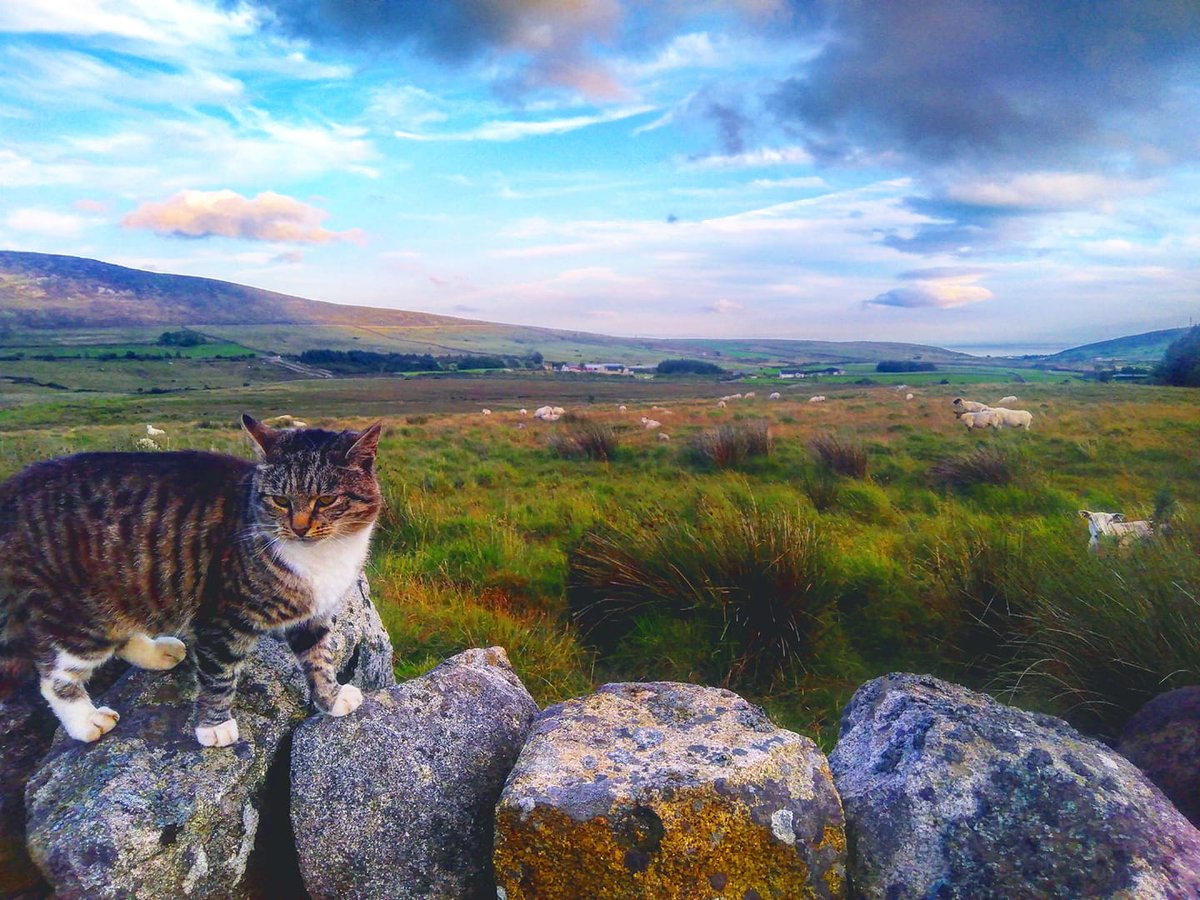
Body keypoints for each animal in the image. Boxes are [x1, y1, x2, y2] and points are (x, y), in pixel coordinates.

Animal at [0, 415, 381, 748]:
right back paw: (86, 720)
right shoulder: (222, 616)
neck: (323, 557)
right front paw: (215, 726)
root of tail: (14, 487)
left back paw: (157, 652)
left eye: (326, 499)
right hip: (78, 611)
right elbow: (219, 674)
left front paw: (331, 697)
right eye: (280, 500)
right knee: (54, 674)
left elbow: (319, 658)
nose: (299, 528)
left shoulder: (314, 614)